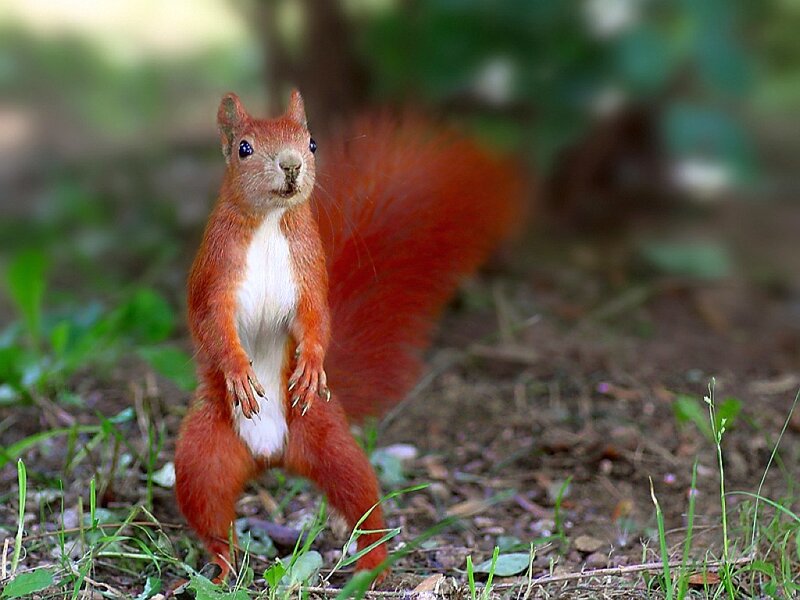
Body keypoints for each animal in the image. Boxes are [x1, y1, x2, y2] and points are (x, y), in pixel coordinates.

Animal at [174, 90, 523, 582]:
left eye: (312, 143)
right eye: (244, 148)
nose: (291, 164)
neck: (270, 223)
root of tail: (269, 455)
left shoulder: (307, 271)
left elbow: (317, 318)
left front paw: (312, 363)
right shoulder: (215, 273)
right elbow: (214, 325)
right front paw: (239, 370)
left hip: (329, 440)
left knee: (362, 501)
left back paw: (373, 564)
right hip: (203, 455)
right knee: (210, 517)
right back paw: (224, 570)